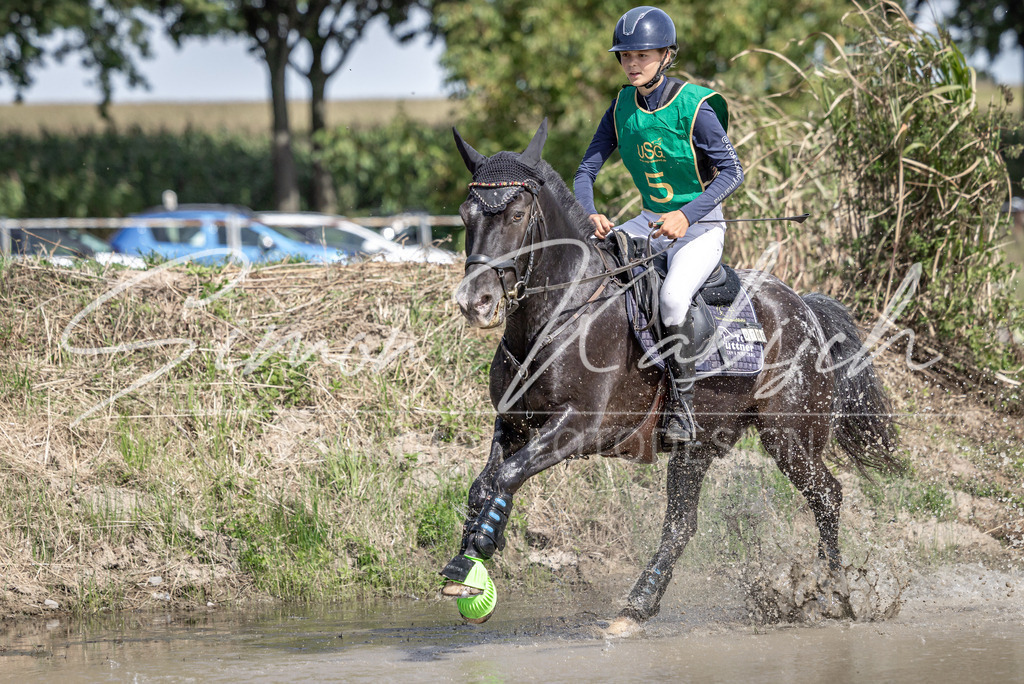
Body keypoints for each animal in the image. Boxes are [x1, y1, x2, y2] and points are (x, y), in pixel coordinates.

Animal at [440, 119, 899, 633]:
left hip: (789, 436)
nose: (475, 302)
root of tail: (804, 306)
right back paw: (638, 605)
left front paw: (479, 549)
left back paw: (833, 591)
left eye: (518, 215)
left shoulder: (580, 427)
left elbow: (509, 475)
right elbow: (485, 483)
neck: (559, 314)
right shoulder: (516, 422)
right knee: (681, 526)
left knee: (827, 496)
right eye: (465, 215)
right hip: (699, 445)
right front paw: (468, 558)